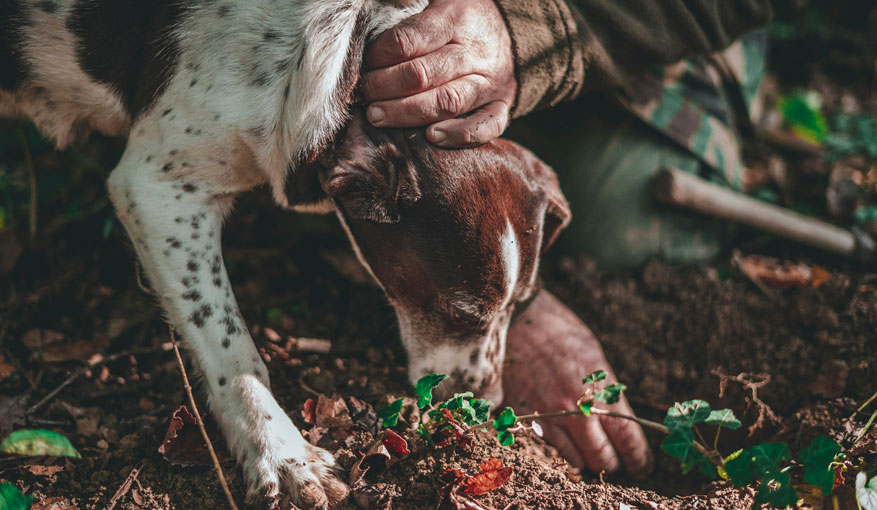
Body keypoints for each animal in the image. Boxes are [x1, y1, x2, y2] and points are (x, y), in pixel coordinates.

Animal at [1, 1, 568, 508]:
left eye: (522, 306)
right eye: (461, 313)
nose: (488, 404)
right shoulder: (156, 189)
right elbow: (231, 346)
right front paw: (281, 454)